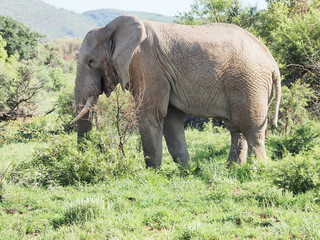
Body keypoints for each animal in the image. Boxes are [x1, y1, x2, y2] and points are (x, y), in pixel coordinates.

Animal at [72, 15, 280, 168]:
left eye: (90, 62)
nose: (86, 157)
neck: (110, 28)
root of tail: (273, 64)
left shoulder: (148, 67)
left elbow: (150, 114)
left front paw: (152, 172)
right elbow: (171, 119)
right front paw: (187, 169)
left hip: (249, 82)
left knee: (251, 127)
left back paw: (257, 169)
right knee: (236, 128)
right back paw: (233, 168)